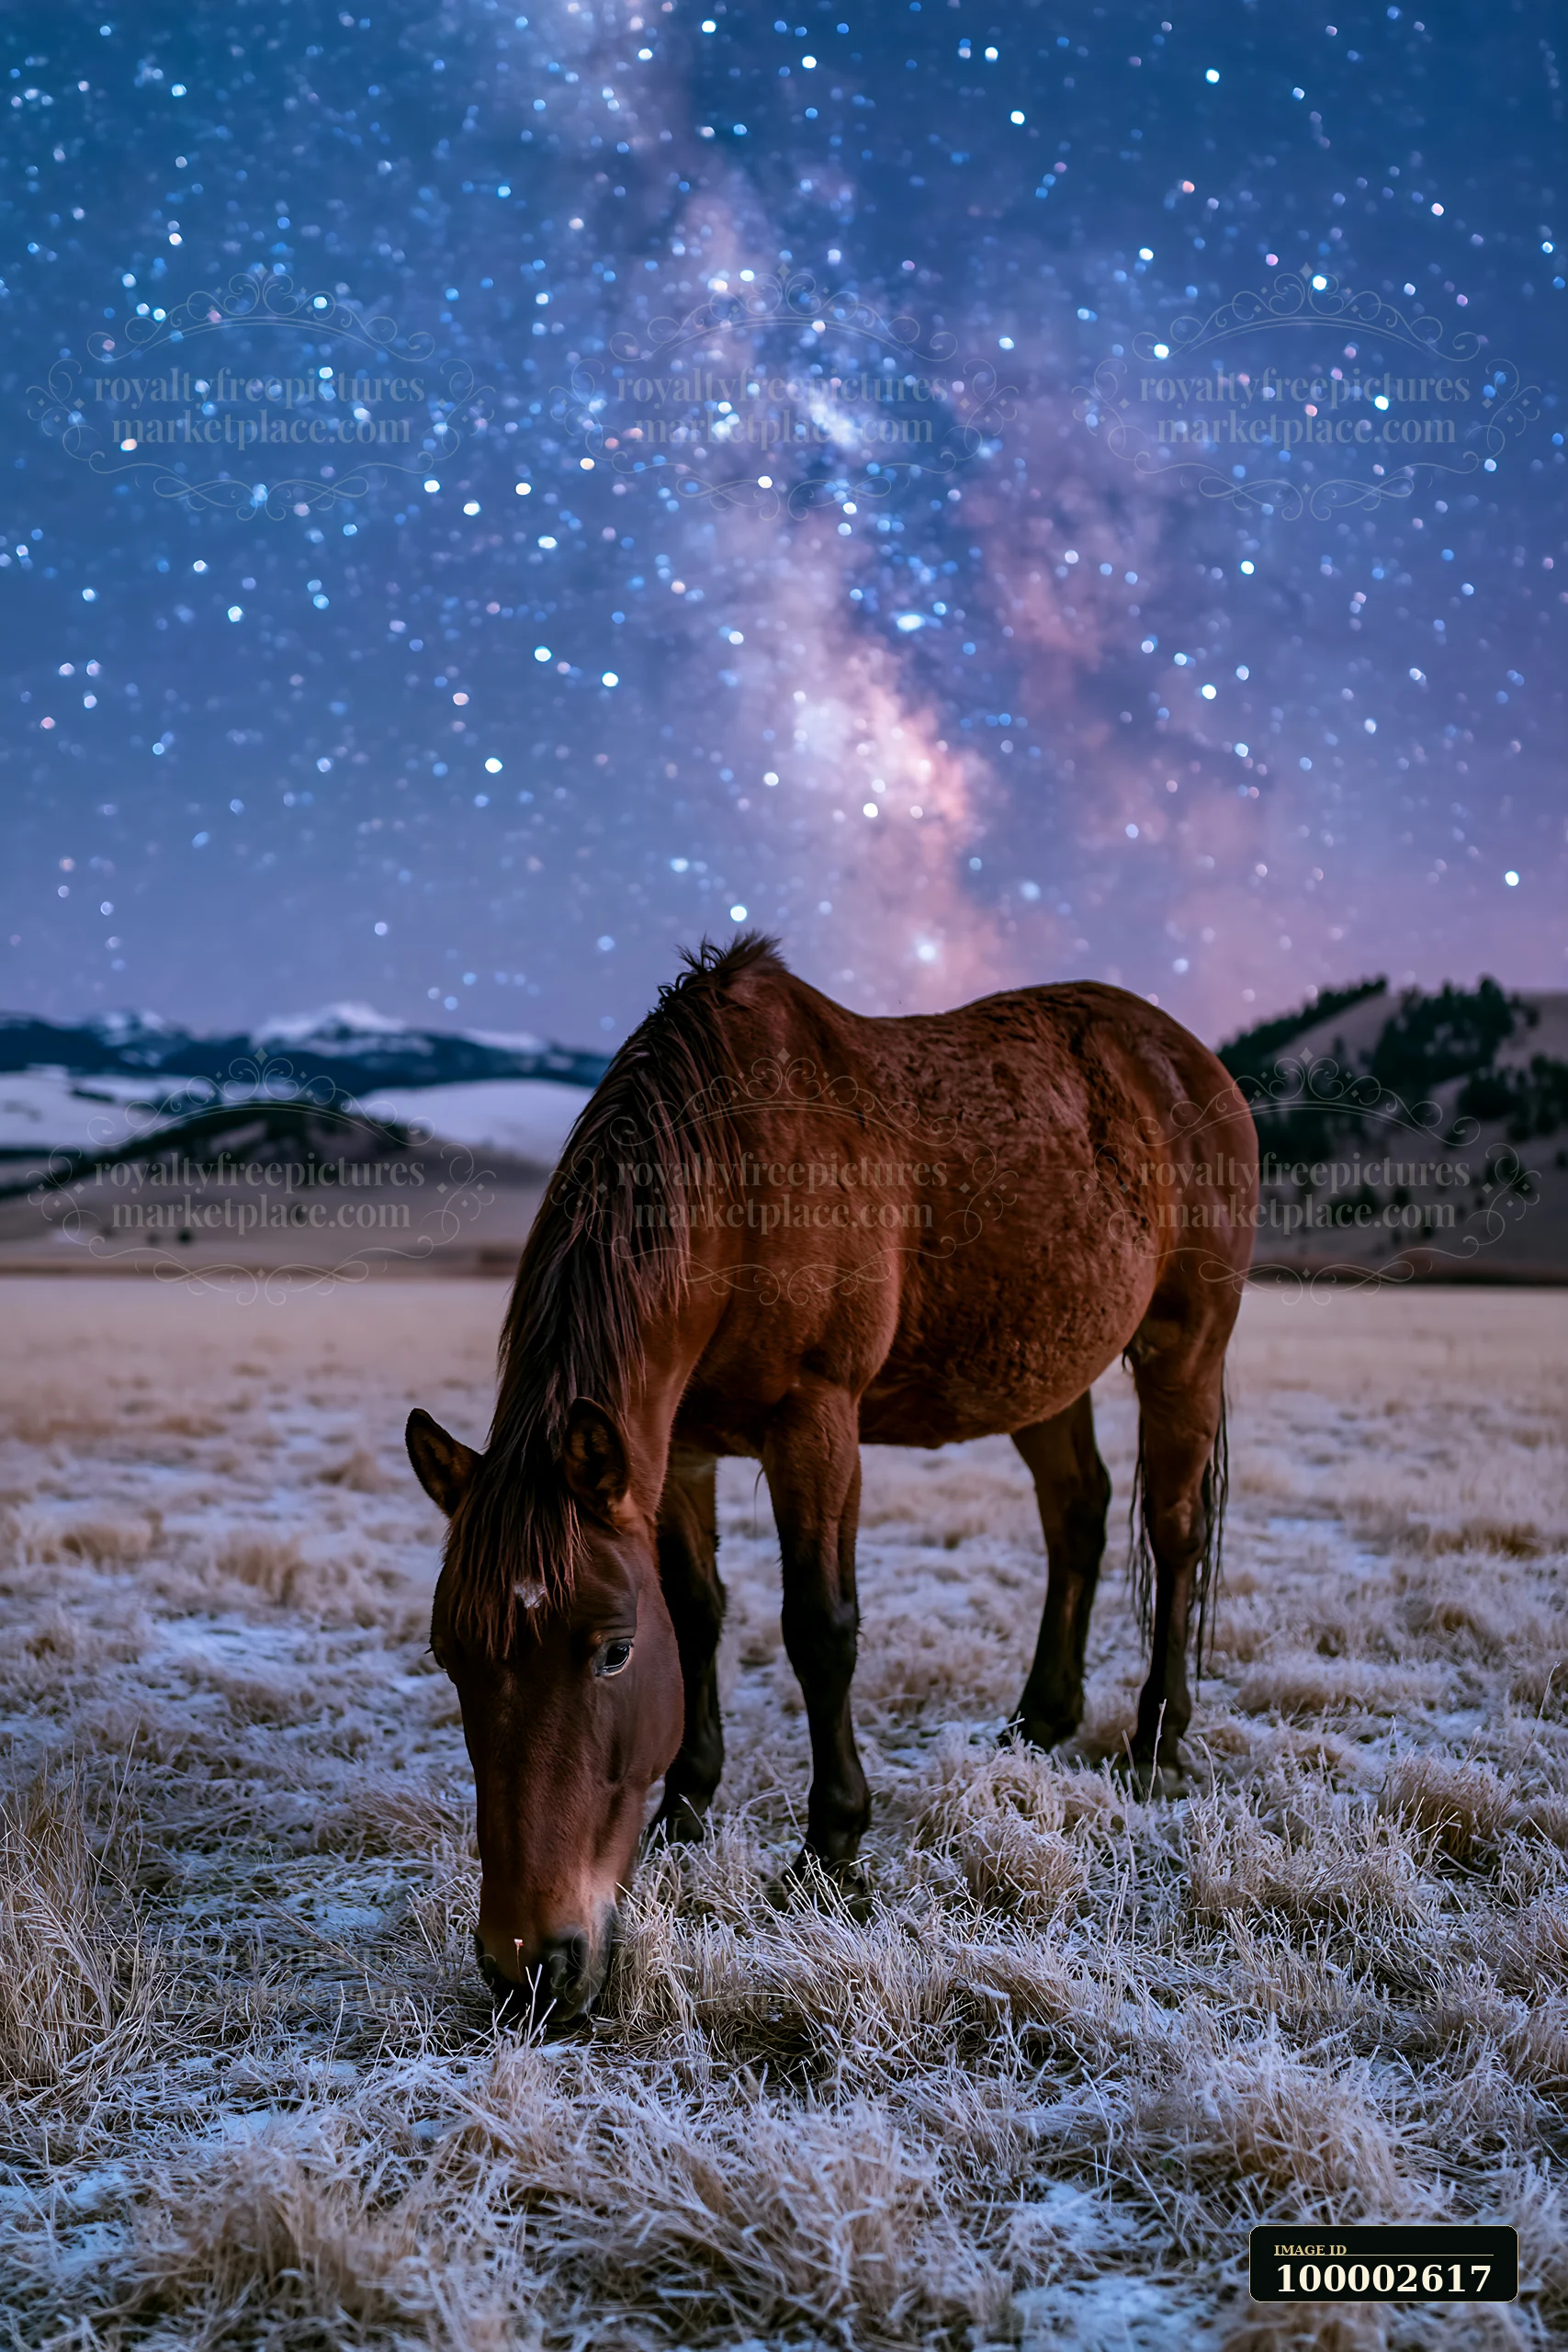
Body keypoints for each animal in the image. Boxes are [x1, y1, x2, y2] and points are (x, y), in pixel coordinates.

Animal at [406, 935, 1257, 2020]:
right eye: (450, 1656)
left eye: (609, 1652)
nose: (529, 1968)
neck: (736, 1183)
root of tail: (1187, 1057)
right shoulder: (675, 1449)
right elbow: (698, 1610)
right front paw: (686, 1804)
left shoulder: (815, 1423)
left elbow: (819, 1627)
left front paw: (833, 1847)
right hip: (1044, 1371)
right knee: (1079, 1515)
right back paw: (1040, 1718)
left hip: (1185, 1343)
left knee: (1173, 1530)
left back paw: (1157, 1736)